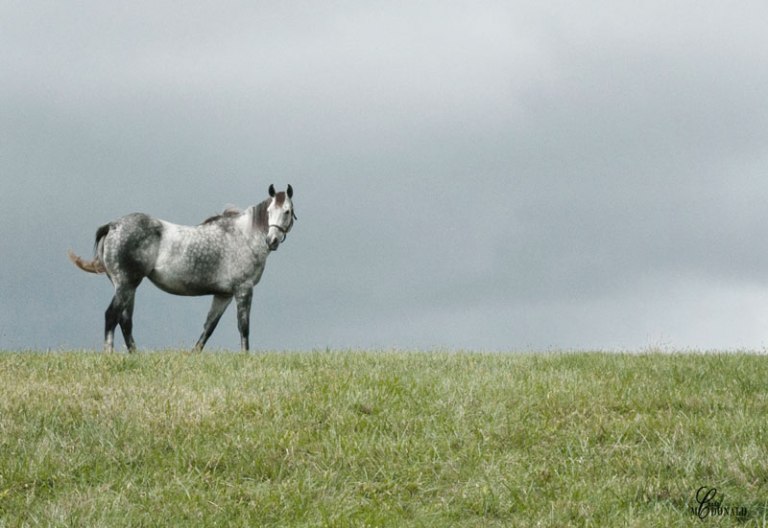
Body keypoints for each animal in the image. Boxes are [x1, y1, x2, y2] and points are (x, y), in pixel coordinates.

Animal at [68, 184, 297, 352]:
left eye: (287, 211)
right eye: (269, 211)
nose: (272, 240)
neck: (244, 236)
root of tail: (113, 226)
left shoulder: (223, 295)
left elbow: (209, 327)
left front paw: (193, 355)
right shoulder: (243, 289)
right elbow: (244, 327)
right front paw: (245, 357)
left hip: (127, 287)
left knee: (125, 321)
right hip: (126, 284)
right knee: (111, 316)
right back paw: (110, 354)